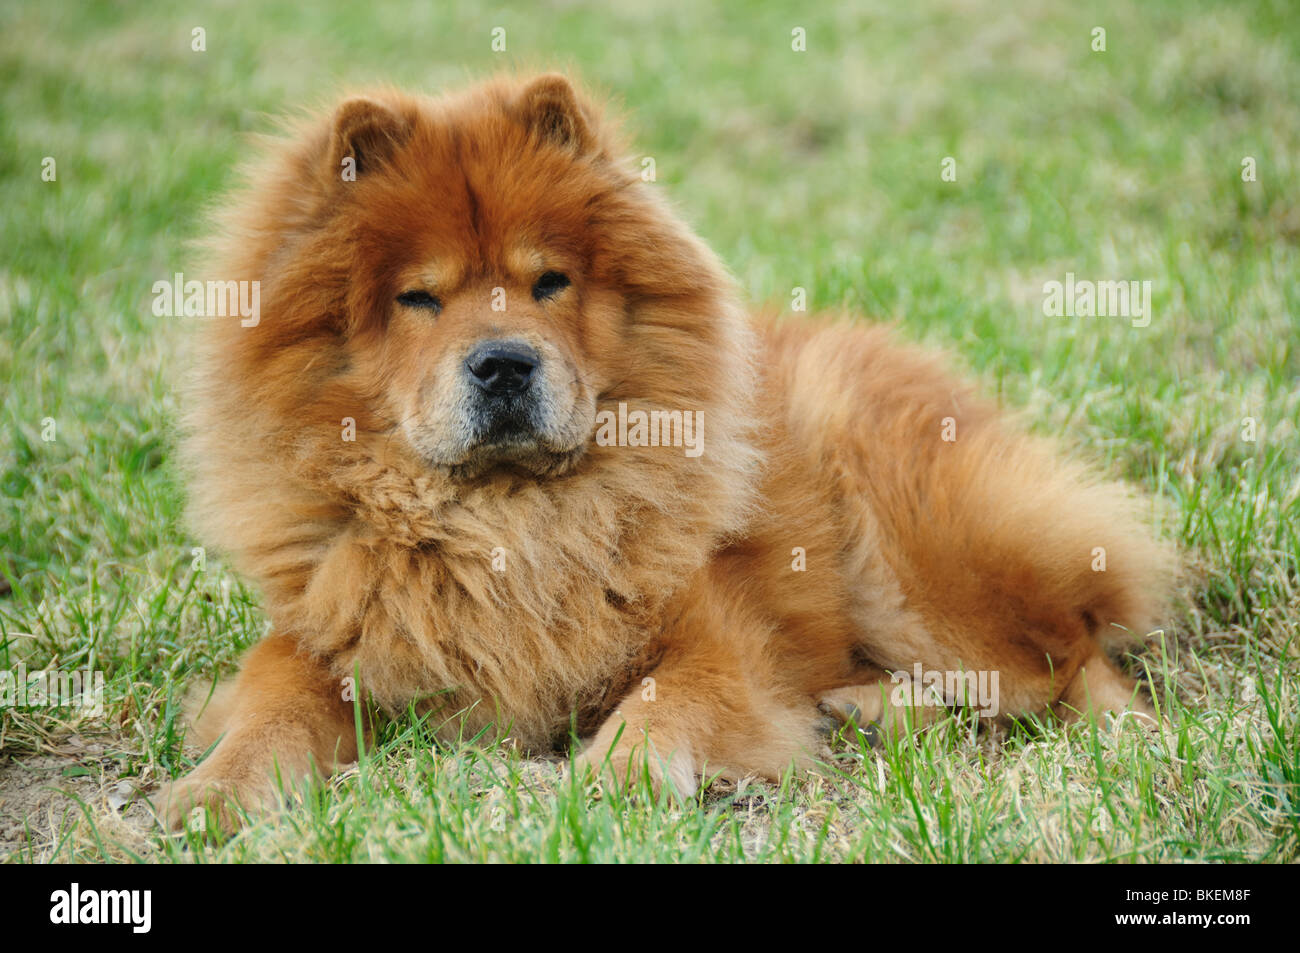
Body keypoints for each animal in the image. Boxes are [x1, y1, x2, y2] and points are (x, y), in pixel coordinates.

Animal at [154, 72, 1180, 826]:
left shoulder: (710, 639)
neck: (508, 522)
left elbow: (664, 704)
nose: (504, 362)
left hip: (919, 561)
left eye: (550, 282)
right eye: (419, 298)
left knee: (1065, 660)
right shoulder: (324, 631)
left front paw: (614, 782)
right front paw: (211, 795)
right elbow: (271, 706)